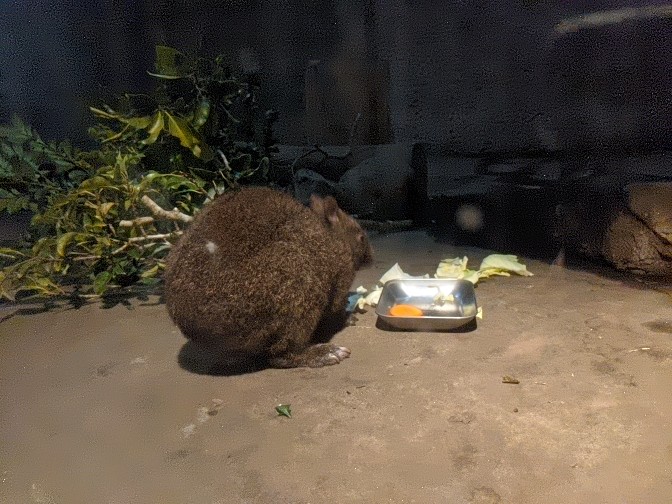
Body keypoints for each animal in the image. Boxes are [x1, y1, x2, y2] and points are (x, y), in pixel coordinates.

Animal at [163, 185, 373, 369]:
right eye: (362, 237)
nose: (371, 259)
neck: (332, 236)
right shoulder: (341, 279)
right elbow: (336, 311)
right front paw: (348, 318)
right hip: (297, 287)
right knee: (281, 355)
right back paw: (323, 354)